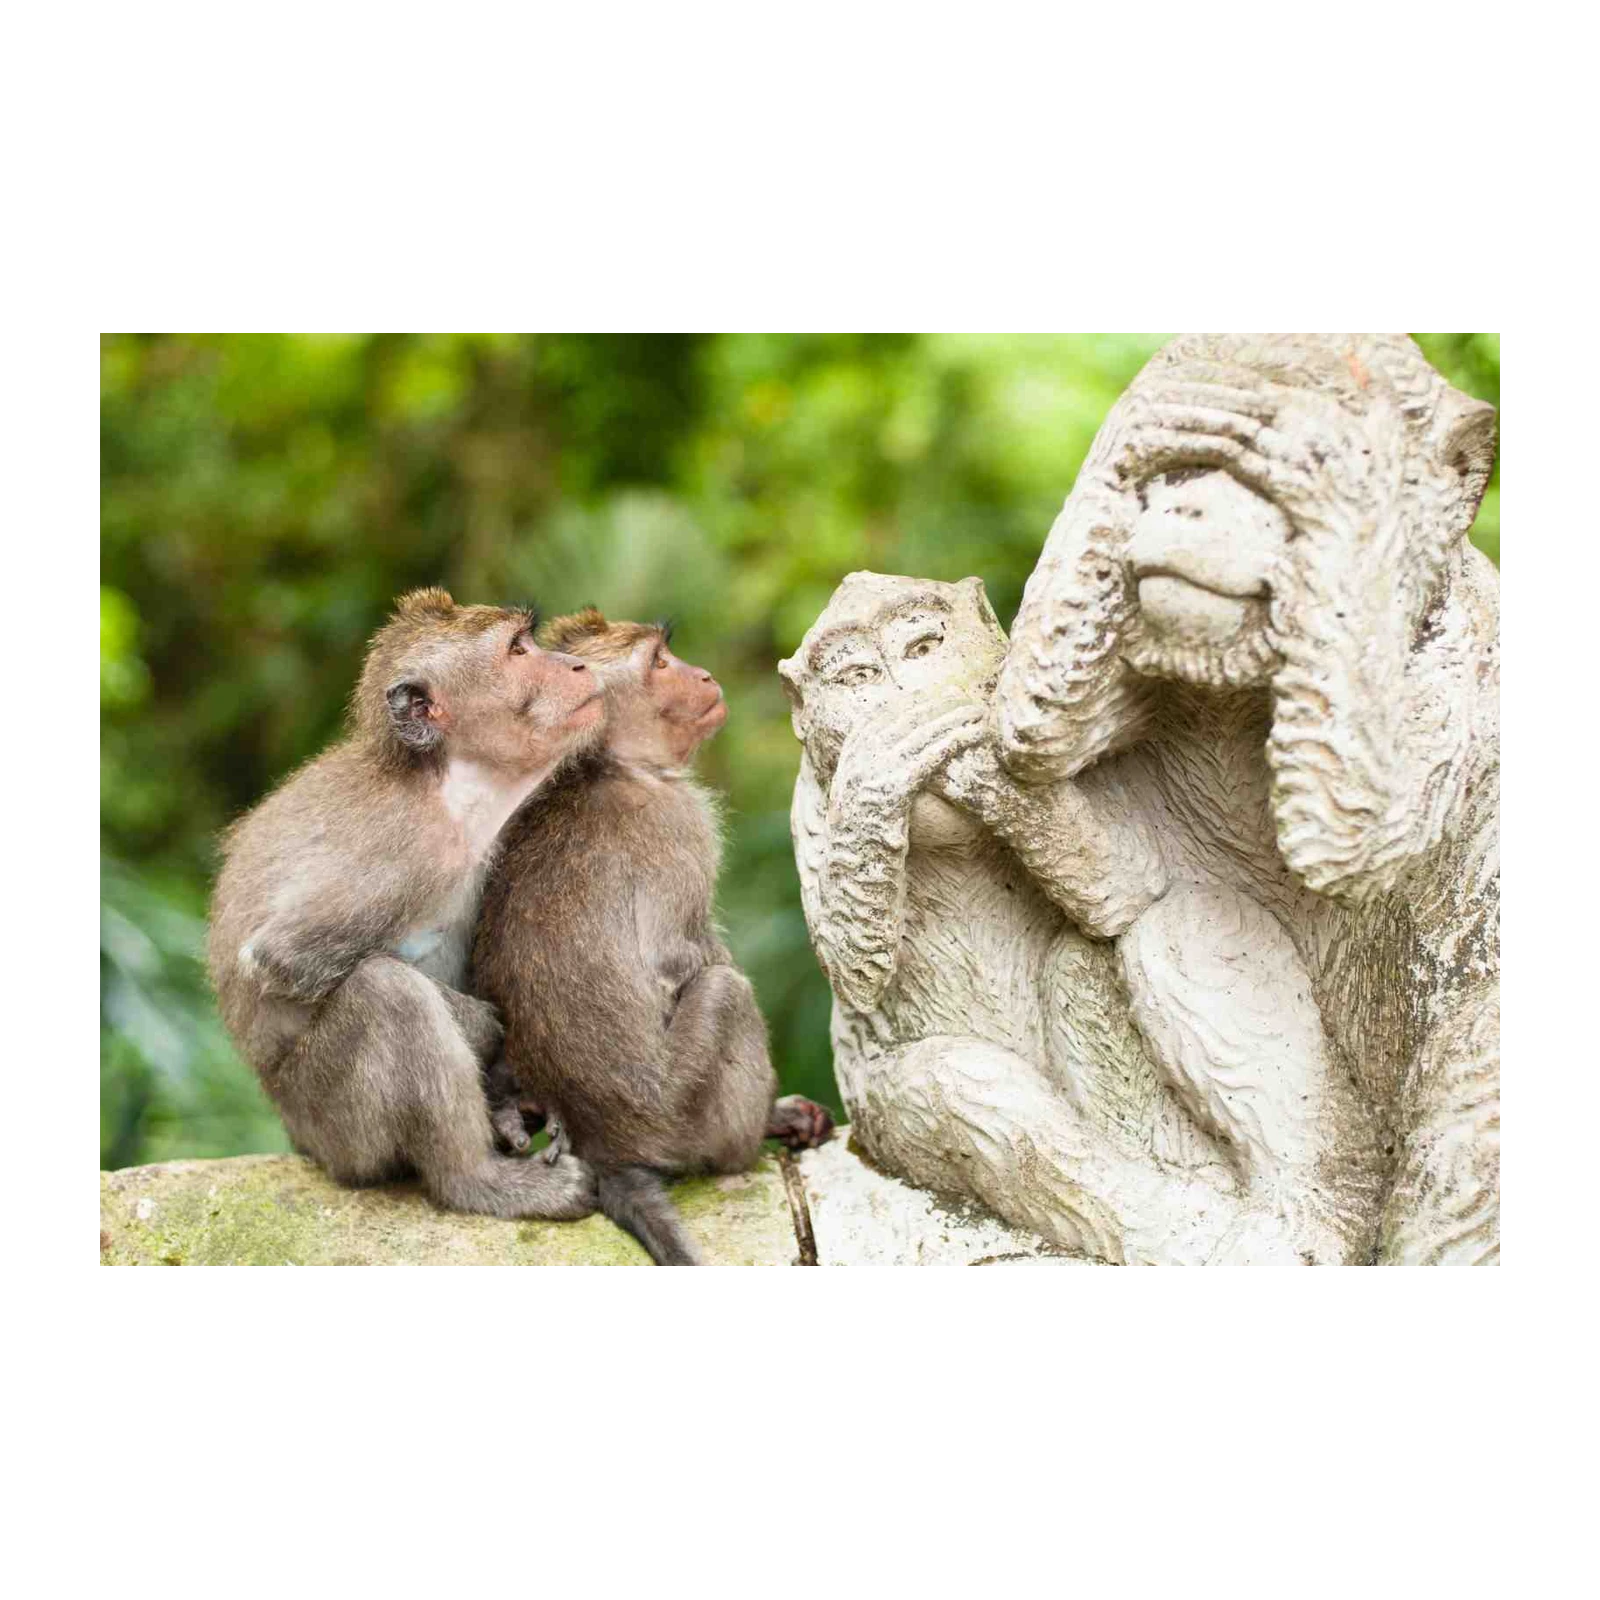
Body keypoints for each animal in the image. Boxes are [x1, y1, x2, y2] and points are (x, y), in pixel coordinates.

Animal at [207, 587, 605, 1221]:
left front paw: (509, 1097)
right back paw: (479, 1182)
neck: (448, 785)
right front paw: (486, 1031)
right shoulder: (412, 849)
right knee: (388, 995)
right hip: (334, 1127)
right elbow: (282, 957)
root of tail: (299, 1137)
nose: (576, 665)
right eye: (518, 650)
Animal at [471, 609, 833, 1270]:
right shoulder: (681, 822)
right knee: (725, 992)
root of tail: (607, 1147)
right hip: (682, 1113)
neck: (610, 763)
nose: (704, 674)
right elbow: (678, 957)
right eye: (660, 662)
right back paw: (754, 1135)